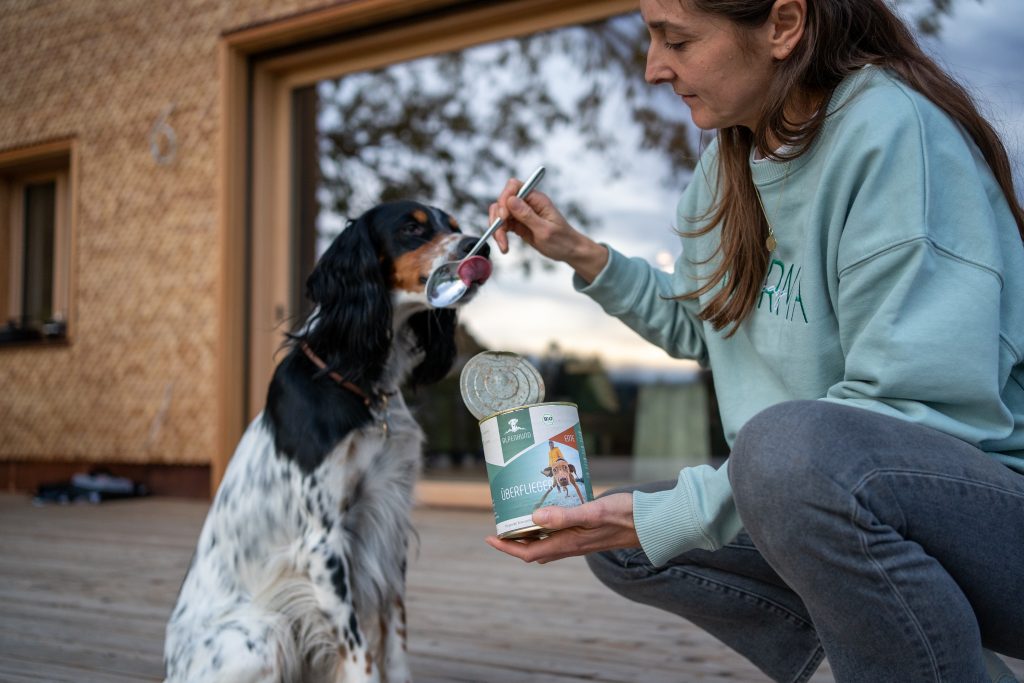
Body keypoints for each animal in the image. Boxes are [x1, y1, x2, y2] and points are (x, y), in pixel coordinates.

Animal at [164, 200, 491, 679]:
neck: (361, 382)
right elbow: (359, 651)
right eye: (411, 228)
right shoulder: (323, 540)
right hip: (262, 636)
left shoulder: (388, 521)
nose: (477, 247)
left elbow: (394, 632)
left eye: (453, 226)